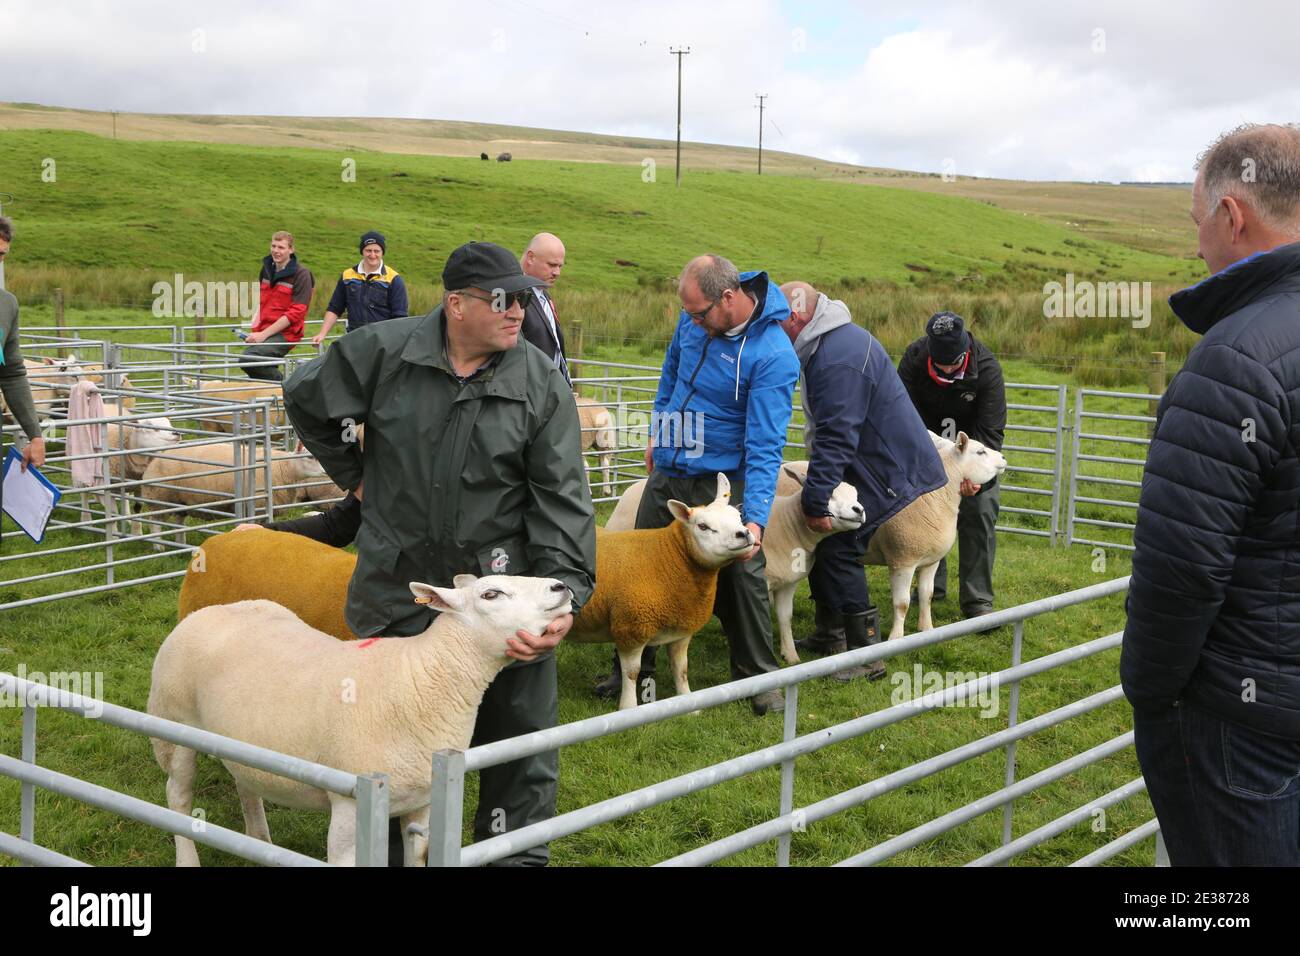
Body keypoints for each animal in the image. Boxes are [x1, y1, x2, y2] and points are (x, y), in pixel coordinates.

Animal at [147, 572, 569, 868]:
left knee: (245, 782)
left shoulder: (422, 805)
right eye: (491, 594)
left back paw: (260, 842)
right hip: (173, 725)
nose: (561, 586)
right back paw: (188, 857)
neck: (421, 677)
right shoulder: (350, 806)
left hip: (241, 740)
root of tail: (211, 609)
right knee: (177, 797)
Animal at [569, 476, 754, 712]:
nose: (744, 534)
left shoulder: (682, 630)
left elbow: (681, 669)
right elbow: (631, 674)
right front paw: (628, 709)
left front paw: (690, 705)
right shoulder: (631, 629)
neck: (667, 558)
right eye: (703, 526)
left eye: (738, 517)